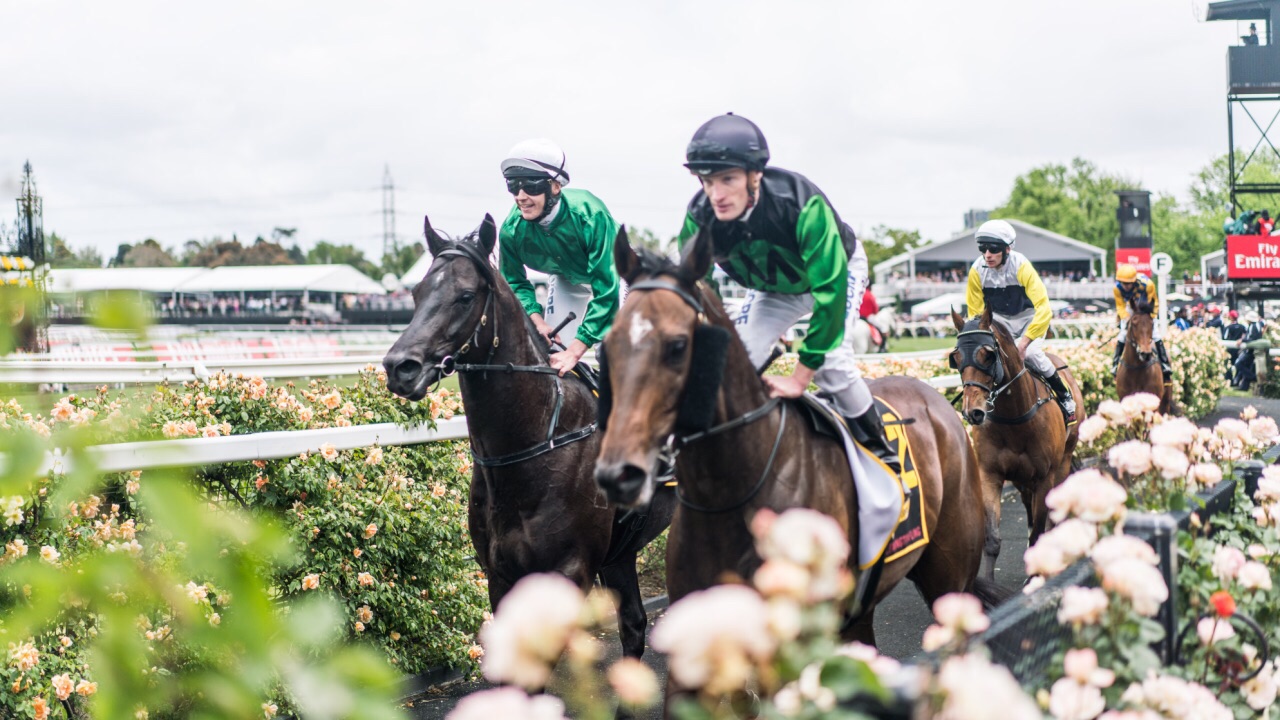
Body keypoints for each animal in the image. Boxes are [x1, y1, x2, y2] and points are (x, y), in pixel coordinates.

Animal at [952, 303, 1080, 576]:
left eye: (987, 355)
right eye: (955, 357)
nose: (972, 411)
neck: (1015, 419)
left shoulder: (1044, 477)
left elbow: (1039, 532)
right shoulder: (990, 474)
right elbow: (992, 539)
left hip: (1063, 462)